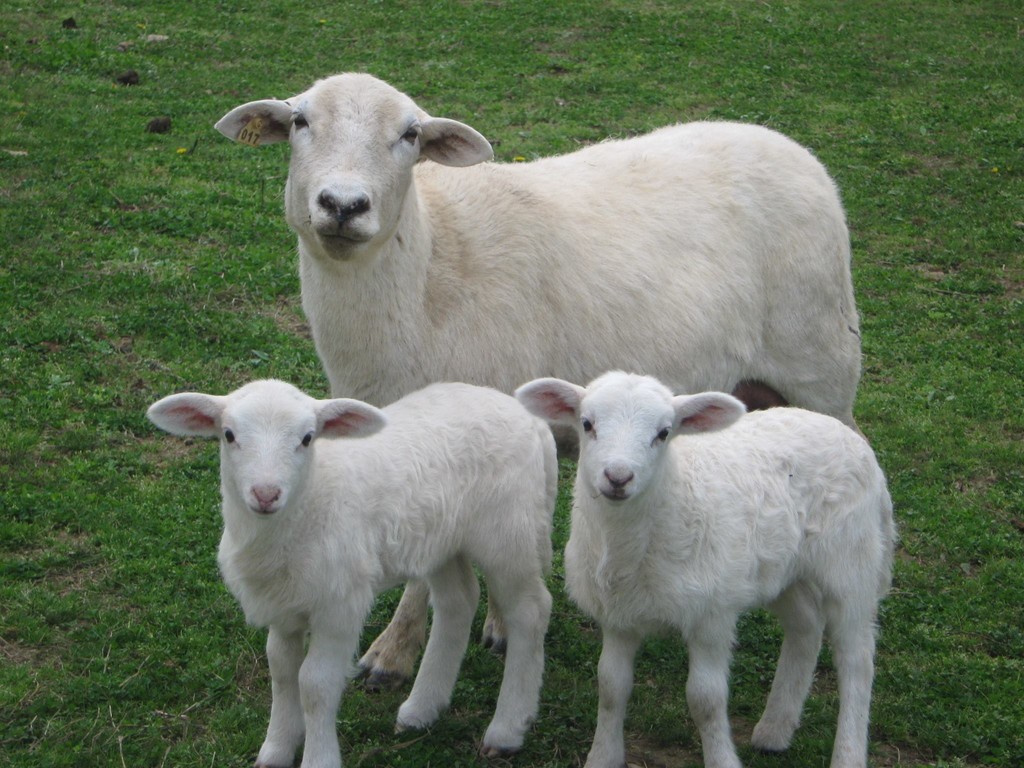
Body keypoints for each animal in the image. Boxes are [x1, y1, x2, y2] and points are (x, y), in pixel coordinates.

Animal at [146, 379, 556, 768]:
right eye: (229, 435)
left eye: (307, 438)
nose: (265, 494)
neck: (311, 499)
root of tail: (530, 418)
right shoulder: (283, 605)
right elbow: (282, 670)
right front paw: (275, 750)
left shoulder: (339, 604)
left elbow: (314, 683)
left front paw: (319, 758)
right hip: (442, 541)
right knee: (459, 601)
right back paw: (421, 709)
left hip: (509, 532)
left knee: (531, 611)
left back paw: (507, 728)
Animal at [214, 71, 863, 689]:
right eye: (300, 121)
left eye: (410, 135)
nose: (343, 205)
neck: (428, 271)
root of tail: (787, 146)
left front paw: (395, 653)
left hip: (824, 367)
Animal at [515, 371, 895, 768]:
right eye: (587, 424)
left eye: (664, 432)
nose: (618, 477)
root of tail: (849, 437)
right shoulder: (618, 616)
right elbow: (610, 687)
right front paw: (602, 756)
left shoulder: (711, 616)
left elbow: (705, 701)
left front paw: (721, 758)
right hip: (784, 568)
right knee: (805, 627)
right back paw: (775, 730)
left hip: (850, 562)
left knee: (856, 659)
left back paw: (847, 752)